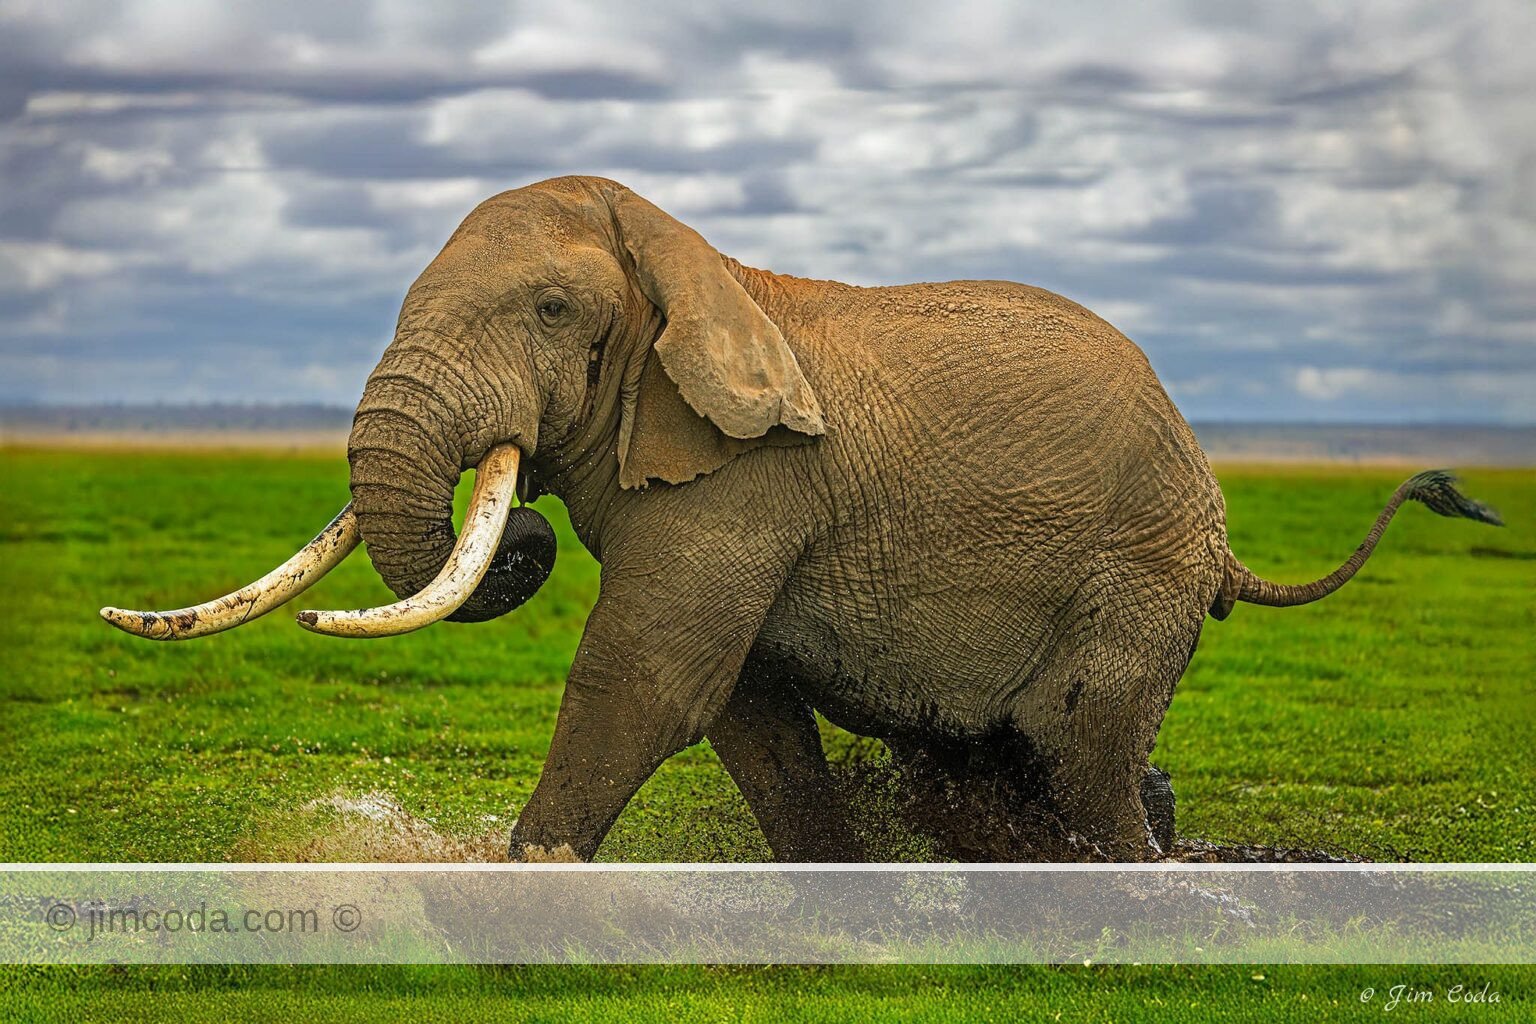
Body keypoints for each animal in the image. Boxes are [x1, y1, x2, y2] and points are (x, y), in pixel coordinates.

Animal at [102, 175, 1503, 862]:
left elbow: (647, 673)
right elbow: (744, 708)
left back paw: (1146, 882)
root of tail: (1220, 525)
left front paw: (522, 881)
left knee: (1078, 748)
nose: (524, 535)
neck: (699, 263)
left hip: (1135, 569)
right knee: (1020, 758)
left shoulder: (752, 478)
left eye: (553, 313)